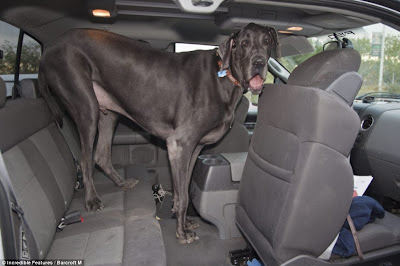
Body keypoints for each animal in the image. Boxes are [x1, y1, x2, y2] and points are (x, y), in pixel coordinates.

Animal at [39, 22, 280, 243]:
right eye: (244, 43)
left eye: (267, 41)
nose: (259, 63)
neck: (224, 75)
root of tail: (51, 47)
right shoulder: (179, 144)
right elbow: (183, 195)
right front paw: (182, 232)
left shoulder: (194, 148)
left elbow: (183, 189)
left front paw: (183, 220)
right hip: (85, 104)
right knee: (85, 158)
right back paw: (92, 200)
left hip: (108, 113)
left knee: (101, 155)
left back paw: (122, 183)